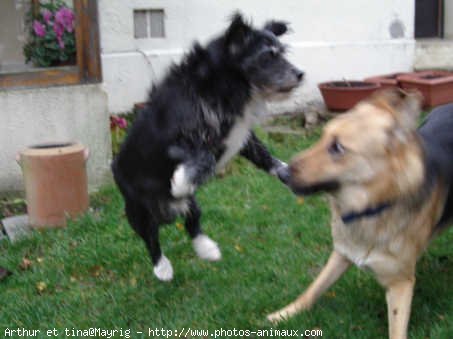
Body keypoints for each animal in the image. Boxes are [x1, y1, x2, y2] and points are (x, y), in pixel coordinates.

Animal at [112, 13, 304, 282]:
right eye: (267, 56)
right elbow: (205, 157)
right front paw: (180, 181)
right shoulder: (177, 139)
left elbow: (264, 156)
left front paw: (287, 172)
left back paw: (207, 249)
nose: (300, 74)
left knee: (192, 222)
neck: (225, 84)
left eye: (283, 52)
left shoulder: (241, 136)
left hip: (191, 204)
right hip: (139, 209)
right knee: (150, 237)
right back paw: (162, 268)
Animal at [266, 89, 452, 338]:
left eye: (337, 147)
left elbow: (396, 330)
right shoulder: (342, 253)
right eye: (322, 137)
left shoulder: (401, 284)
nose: (282, 173)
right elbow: (314, 287)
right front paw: (286, 313)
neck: (369, 208)